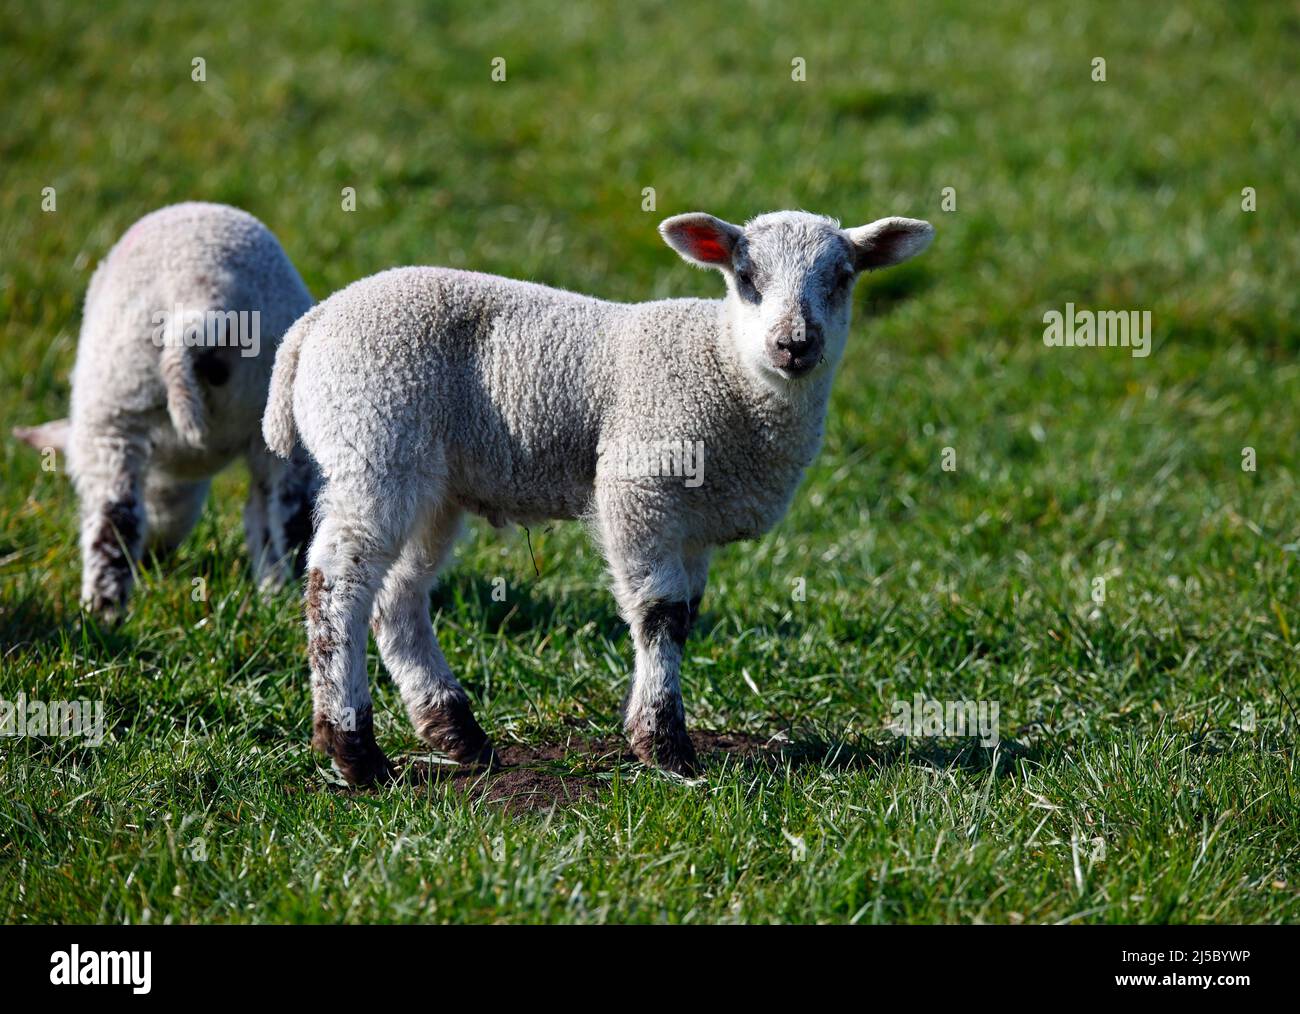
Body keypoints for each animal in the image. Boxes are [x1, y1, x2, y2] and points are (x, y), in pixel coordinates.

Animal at [17, 201, 319, 618]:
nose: (155, 557)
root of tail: (204, 302)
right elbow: (259, 522)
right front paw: (271, 593)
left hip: (114, 403)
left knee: (116, 519)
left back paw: (102, 611)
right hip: (274, 412)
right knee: (290, 518)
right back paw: (283, 600)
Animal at [266, 209, 935, 790]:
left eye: (842, 277)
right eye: (746, 278)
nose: (795, 344)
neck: (726, 368)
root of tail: (313, 324)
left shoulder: (692, 522)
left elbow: (685, 616)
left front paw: (654, 730)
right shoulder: (640, 484)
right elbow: (660, 613)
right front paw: (665, 748)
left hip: (432, 483)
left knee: (399, 596)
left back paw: (456, 733)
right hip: (374, 442)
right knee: (337, 582)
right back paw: (354, 750)